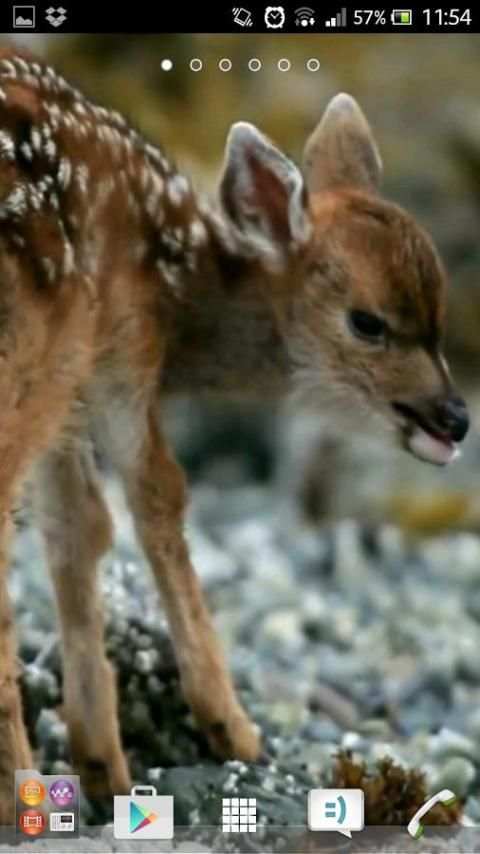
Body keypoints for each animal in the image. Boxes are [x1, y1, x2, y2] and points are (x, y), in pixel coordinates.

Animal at [0, 47, 469, 823]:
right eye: (367, 322)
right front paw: (232, 728)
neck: (179, 288)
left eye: (440, 319)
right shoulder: (119, 353)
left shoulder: (73, 394)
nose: (455, 416)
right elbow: (156, 499)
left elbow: (75, 529)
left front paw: (102, 765)